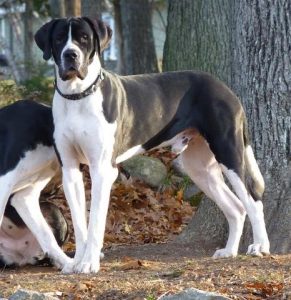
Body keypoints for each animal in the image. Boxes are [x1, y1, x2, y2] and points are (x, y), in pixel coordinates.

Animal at [34, 16, 272, 274]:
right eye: (59, 38)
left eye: (84, 38)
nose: (71, 55)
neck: (78, 95)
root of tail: (226, 89)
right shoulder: (70, 171)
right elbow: (79, 222)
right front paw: (77, 262)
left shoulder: (102, 170)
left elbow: (96, 221)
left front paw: (89, 263)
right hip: (199, 167)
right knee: (236, 208)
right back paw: (229, 251)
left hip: (228, 151)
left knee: (253, 200)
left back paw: (260, 246)